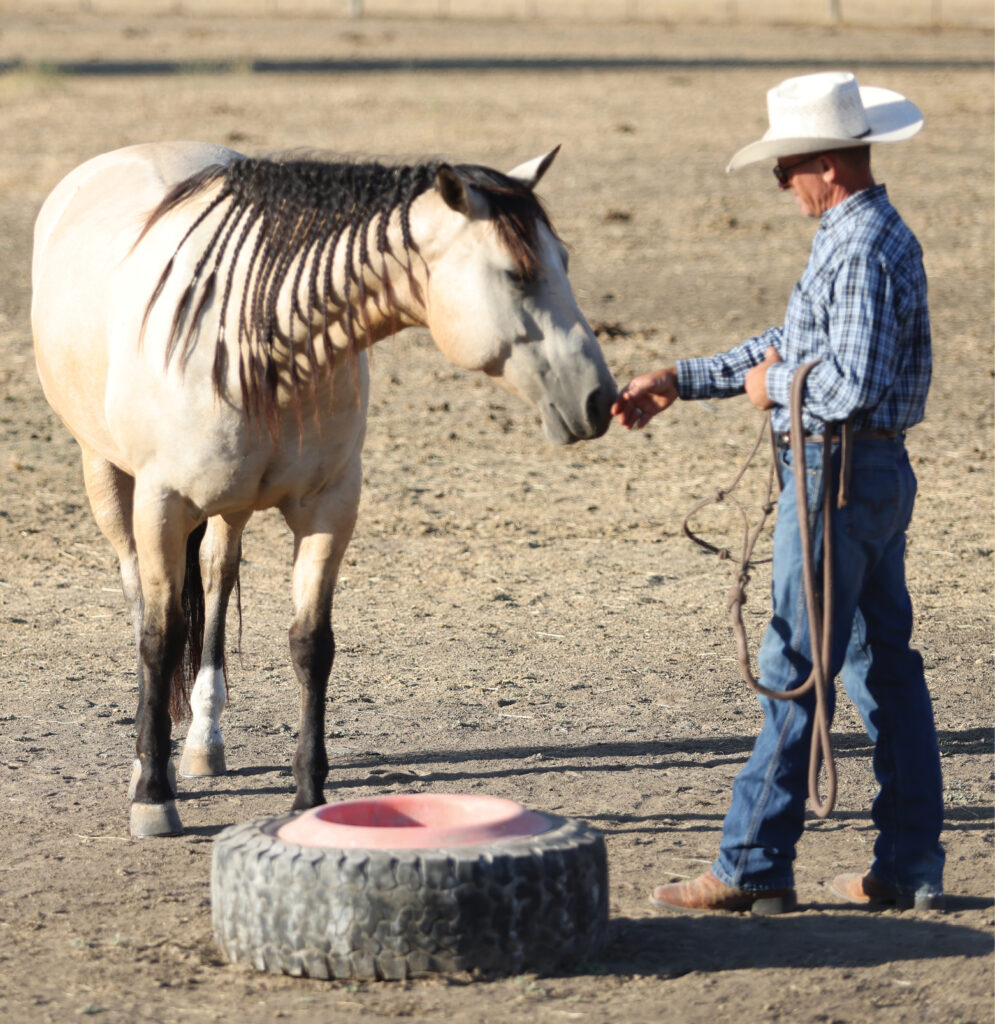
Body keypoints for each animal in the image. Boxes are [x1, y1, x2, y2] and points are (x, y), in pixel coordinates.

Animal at [31, 141, 616, 838]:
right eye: (515, 274)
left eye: (564, 261)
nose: (600, 398)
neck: (256, 335)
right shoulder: (161, 505)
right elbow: (159, 636)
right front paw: (152, 796)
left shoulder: (330, 507)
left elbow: (311, 644)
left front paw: (308, 797)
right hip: (108, 479)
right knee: (143, 601)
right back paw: (153, 762)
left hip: (229, 508)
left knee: (217, 576)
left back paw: (203, 742)